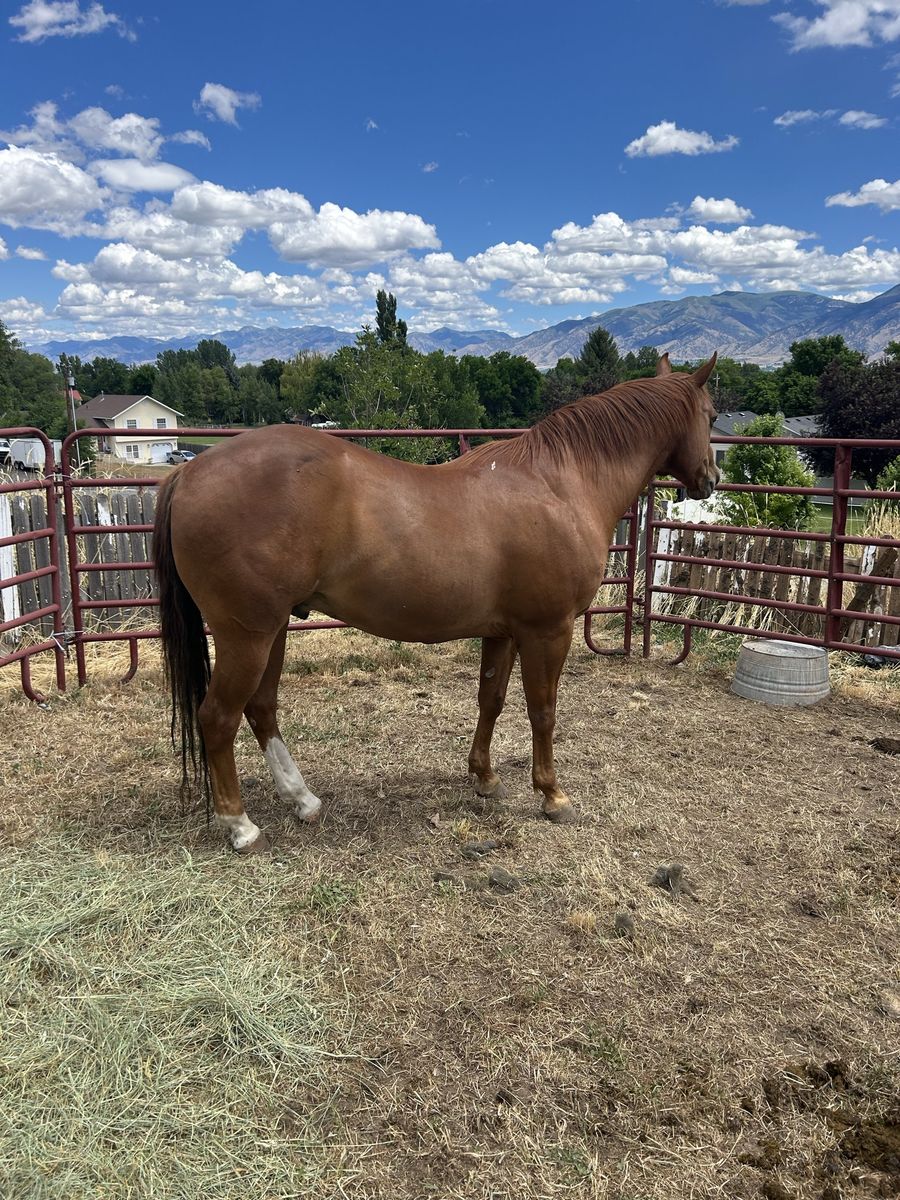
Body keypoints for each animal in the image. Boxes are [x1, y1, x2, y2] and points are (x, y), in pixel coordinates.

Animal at [153, 351, 719, 852]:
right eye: (712, 415)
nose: (711, 479)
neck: (559, 485)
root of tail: (190, 471)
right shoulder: (548, 630)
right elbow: (543, 711)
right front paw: (553, 796)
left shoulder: (503, 631)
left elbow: (491, 699)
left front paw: (485, 778)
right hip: (247, 634)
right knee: (218, 718)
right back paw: (241, 826)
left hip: (272, 631)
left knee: (261, 708)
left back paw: (303, 800)